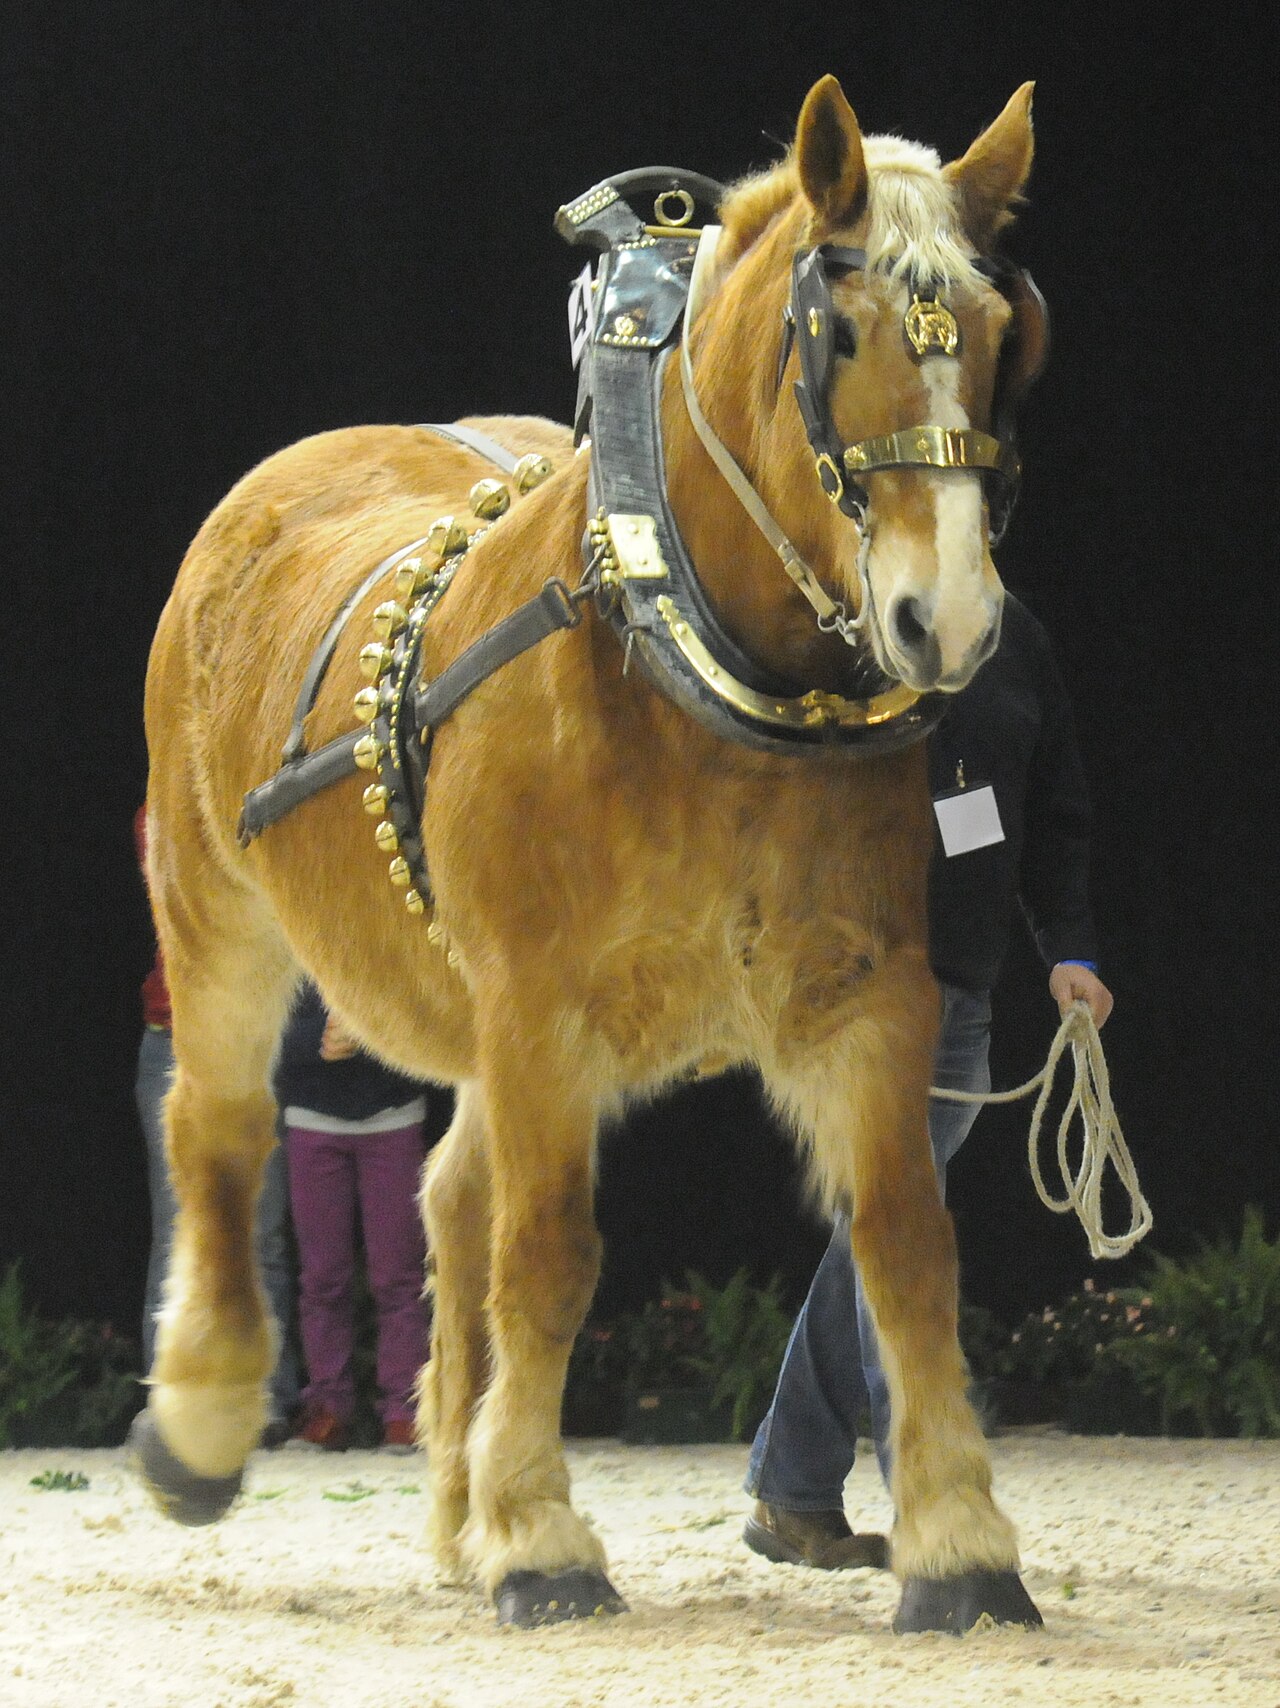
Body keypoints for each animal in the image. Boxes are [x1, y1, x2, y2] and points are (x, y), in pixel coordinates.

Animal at [137, 74, 1049, 1635]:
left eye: (998, 336)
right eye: (838, 333)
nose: (950, 622)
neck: (678, 652)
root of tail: (292, 471)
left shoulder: (871, 996)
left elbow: (903, 1247)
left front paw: (959, 1539)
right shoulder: (536, 1005)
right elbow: (551, 1255)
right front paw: (542, 1535)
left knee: (449, 1196)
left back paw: (452, 1510)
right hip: (213, 912)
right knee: (220, 1125)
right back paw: (202, 1422)